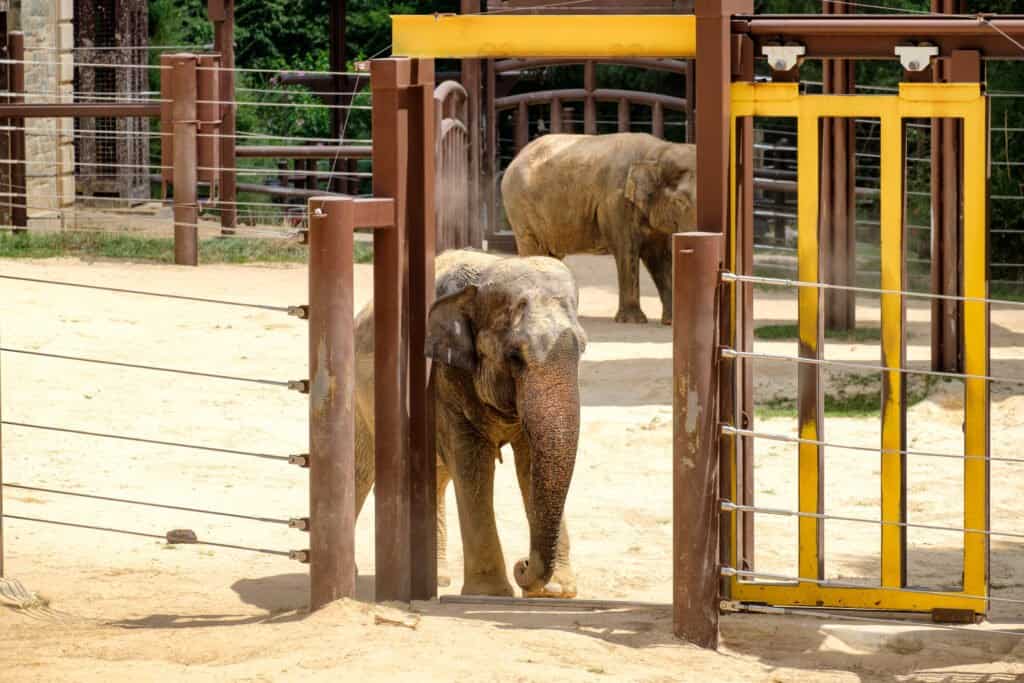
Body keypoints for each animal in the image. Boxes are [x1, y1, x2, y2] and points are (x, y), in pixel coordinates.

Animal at [353, 249, 586, 598]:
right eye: (514, 356)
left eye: (581, 350)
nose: (522, 564)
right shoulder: (443, 379)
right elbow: (472, 462)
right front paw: (490, 593)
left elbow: (530, 463)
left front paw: (556, 591)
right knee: (362, 470)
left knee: (434, 477)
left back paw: (436, 579)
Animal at [501, 132, 697, 325]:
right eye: (679, 202)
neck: (657, 151)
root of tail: (516, 157)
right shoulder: (615, 203)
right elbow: (627, 251)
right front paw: (633, 321)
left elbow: (659, 258)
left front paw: (671, 322)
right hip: (520, 209)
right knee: (534, 249)